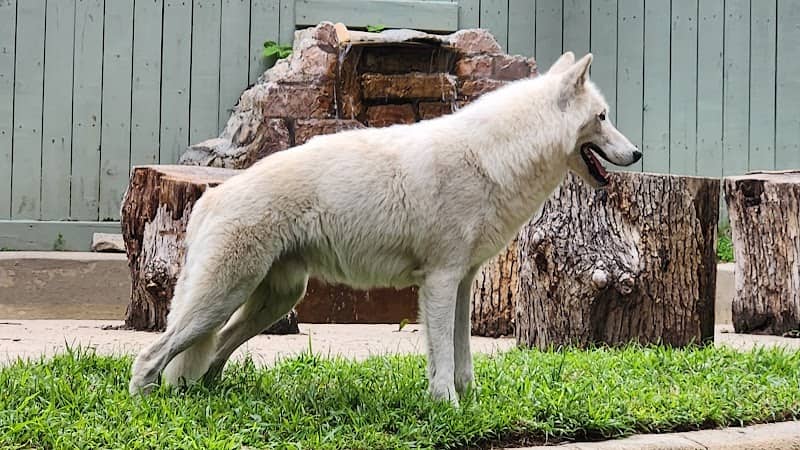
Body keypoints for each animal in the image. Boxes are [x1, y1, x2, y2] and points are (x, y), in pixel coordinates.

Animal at [129, 52, 641, 405]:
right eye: (602, 117)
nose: (637, 153)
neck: (493, 158)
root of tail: (211, 196)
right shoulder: (439, 282)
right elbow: (442, 357)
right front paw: (448, 408)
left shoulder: (462, 283)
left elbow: (462, 357)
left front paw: (471, 404)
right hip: (221, 300)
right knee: (151, 357)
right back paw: (148, 402)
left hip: (272, 302)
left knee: (211, 355)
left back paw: (208, 396)